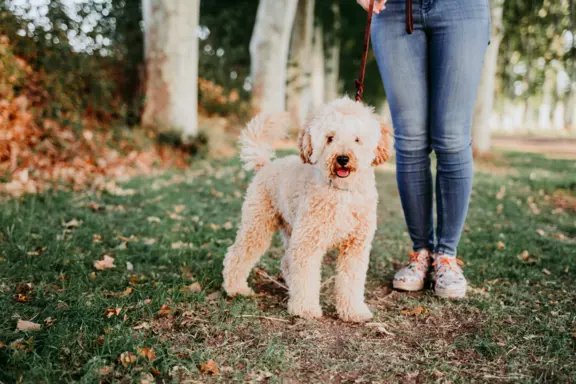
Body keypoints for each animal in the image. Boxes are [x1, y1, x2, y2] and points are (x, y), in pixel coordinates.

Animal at [220, 96, 392, 320]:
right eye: (330, 138)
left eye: (357, 139)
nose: (342, 158)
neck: (342, 191)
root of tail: (266, 165)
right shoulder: (308, 242)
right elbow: (306, 276)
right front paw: (305, 309)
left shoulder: (355, 246)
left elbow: (351, 280)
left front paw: (353, 311)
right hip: (258, 224)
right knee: (238, 254)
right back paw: (235, 288)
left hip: (290, 228)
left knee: (286, 261)